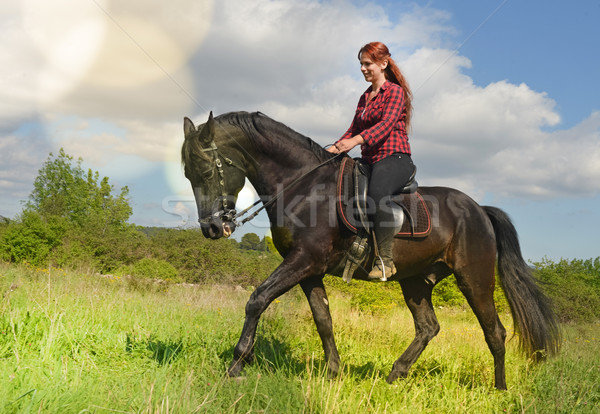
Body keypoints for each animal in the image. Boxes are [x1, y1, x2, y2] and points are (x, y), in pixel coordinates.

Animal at [180, 111, 560, 392]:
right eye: (187, 174)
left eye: (204, 170)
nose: (212, 228)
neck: (304, 184)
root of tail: (479, 210)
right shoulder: (309, 269)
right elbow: (323, 319)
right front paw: (333, 372)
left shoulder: (303, 260)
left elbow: (257, 299)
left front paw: (237, 363)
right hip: (416, 282)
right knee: (428, 327)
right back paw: (395, 375)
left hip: (475, 280)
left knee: (494, 331)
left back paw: (500, 389)